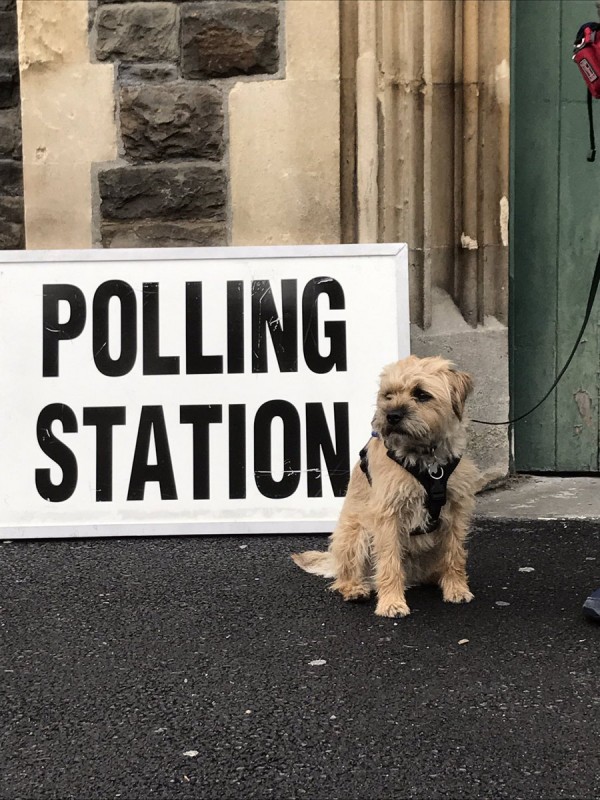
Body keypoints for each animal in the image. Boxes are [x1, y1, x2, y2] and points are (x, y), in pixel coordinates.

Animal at [290, 356, 478, 620]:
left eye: (421, 394)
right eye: (388, 395)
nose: (392, 415)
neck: (425, 457)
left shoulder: (456, 512)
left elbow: (455, 554)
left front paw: (457, 588)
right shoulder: (388, 516)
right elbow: (389, 562)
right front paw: (391, 603)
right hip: (355, 533)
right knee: (346, 576)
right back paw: (355, 588)